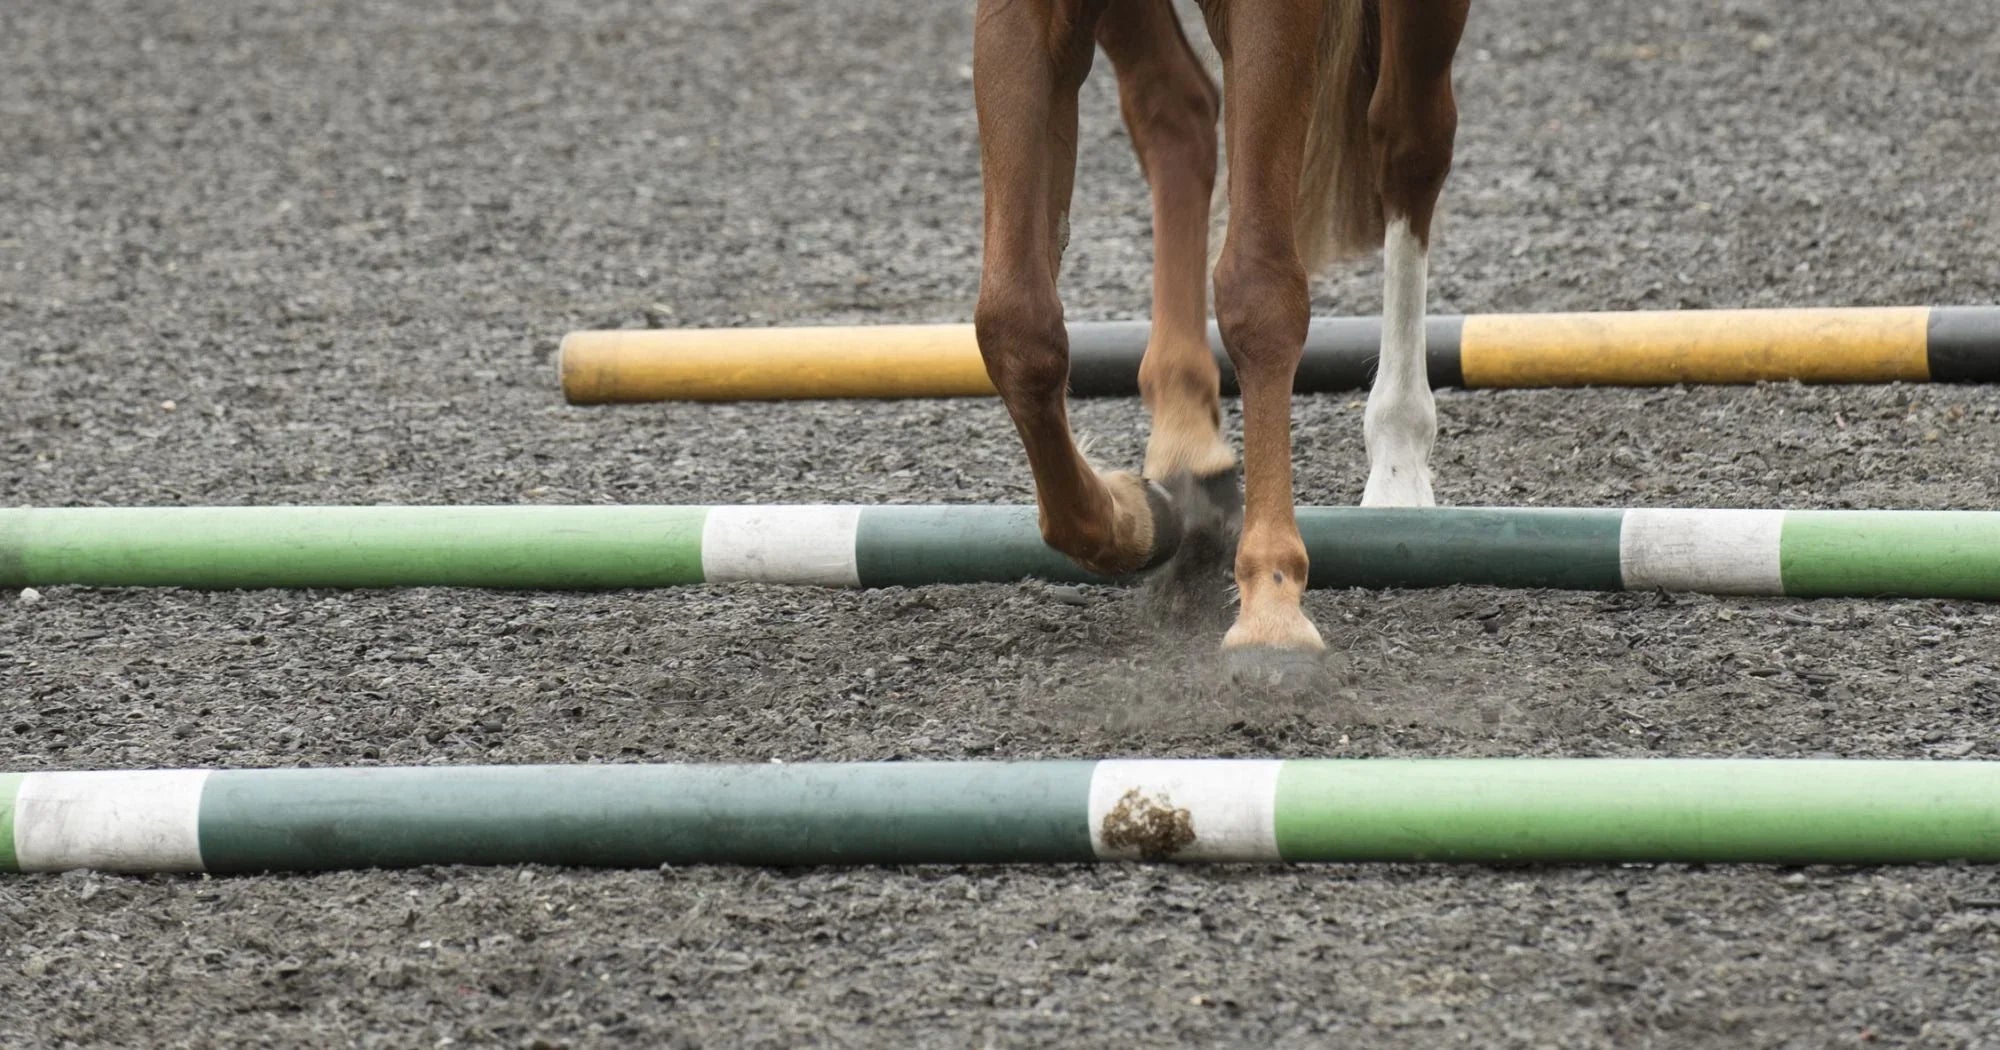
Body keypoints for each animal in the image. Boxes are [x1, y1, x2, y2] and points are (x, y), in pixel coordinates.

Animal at [972, 0, 1468, 662]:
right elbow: (1015, 328)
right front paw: (1134, 515)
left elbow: (1257, 290)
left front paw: (1271, 602)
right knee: (1174, 109)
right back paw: (1184, 427)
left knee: (1410, 141)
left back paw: (1398, 466)